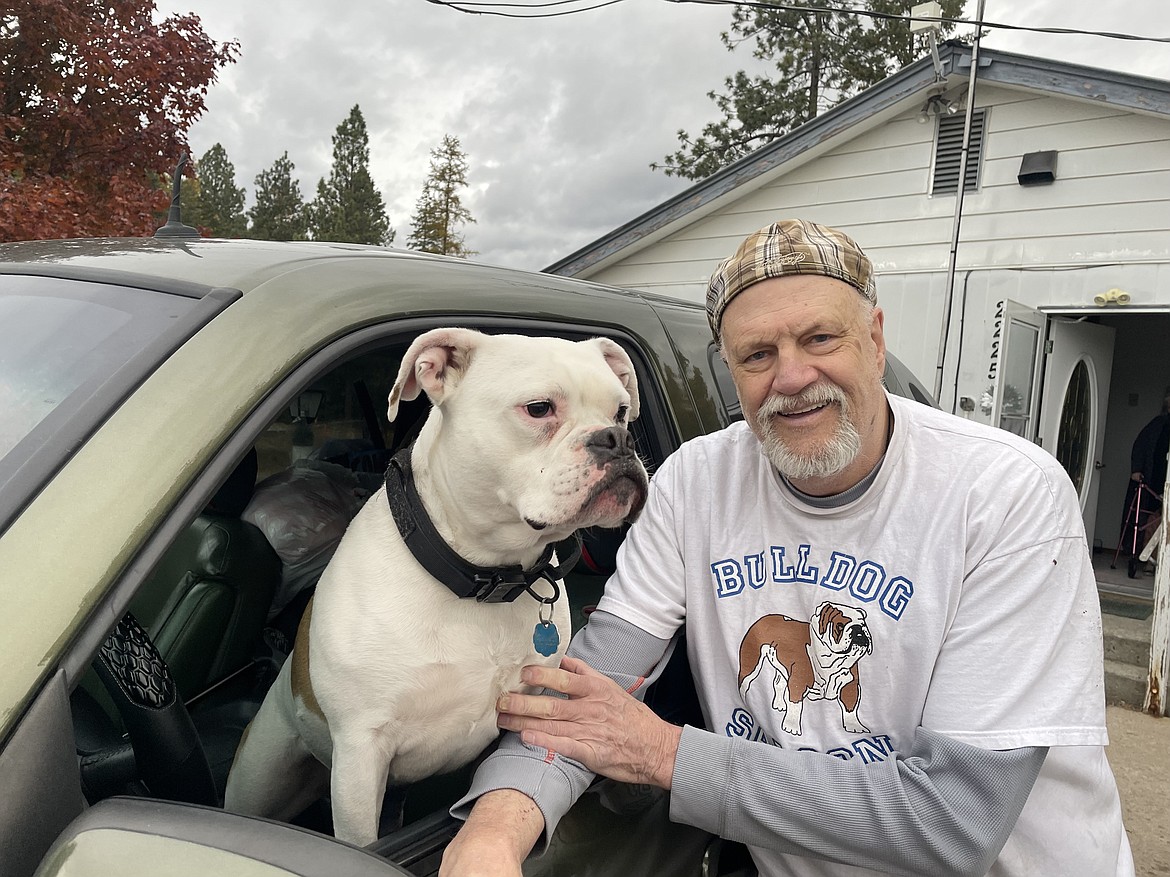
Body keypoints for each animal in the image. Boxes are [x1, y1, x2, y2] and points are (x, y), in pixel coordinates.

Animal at [221, 327, 650, 846]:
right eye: (539, 408)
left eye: (622, 410)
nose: (618, 438)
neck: (483, 577)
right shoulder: (360, 758)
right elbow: (363, 843)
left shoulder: (534, 708)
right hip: (261, 775)